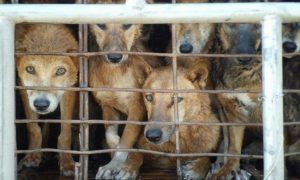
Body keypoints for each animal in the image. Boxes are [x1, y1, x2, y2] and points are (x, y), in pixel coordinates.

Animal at [15, 23, 79, 176]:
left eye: (61, 71)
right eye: (30, 69)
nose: (41, 104)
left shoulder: (70, 89)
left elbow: (65, 132)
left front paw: (66, 161)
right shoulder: (23, 87)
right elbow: (33, 128)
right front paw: (32, 155)